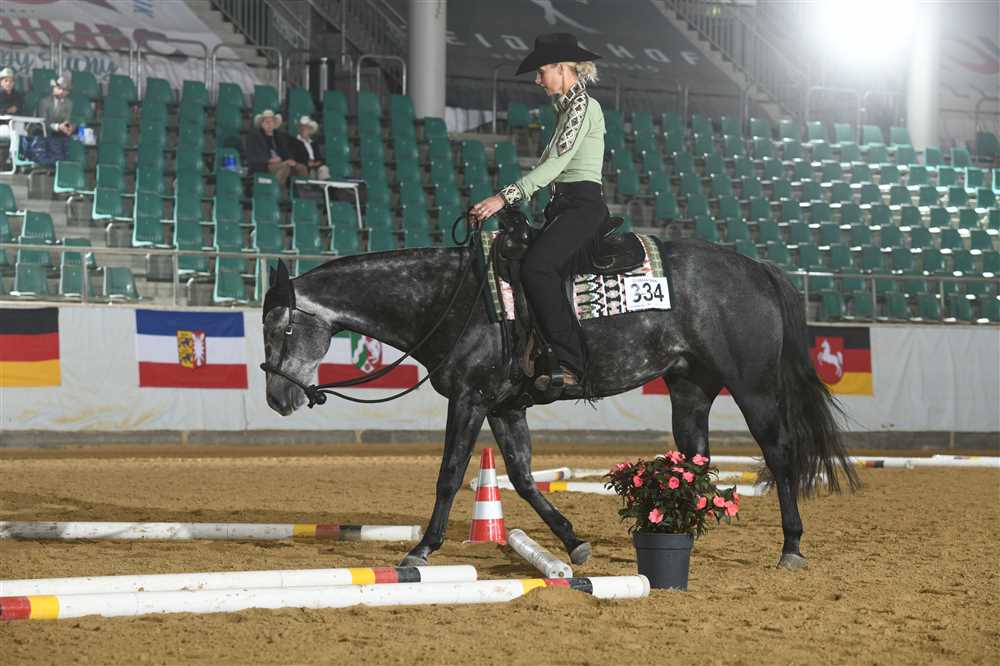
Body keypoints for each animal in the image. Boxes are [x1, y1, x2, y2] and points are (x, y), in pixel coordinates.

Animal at [260, 235, 859, 571]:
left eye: (279, 327)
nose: (276, 397)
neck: (453, 297)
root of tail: (757, 269)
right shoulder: (504, 407)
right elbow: (522, 479)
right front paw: (574, 543)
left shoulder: (471, 399)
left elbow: (450, 474)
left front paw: (422, 548)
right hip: (690, 389)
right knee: (694, 463)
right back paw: (676, 529)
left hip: (753, 387)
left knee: (779, 454)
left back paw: (791, 547)